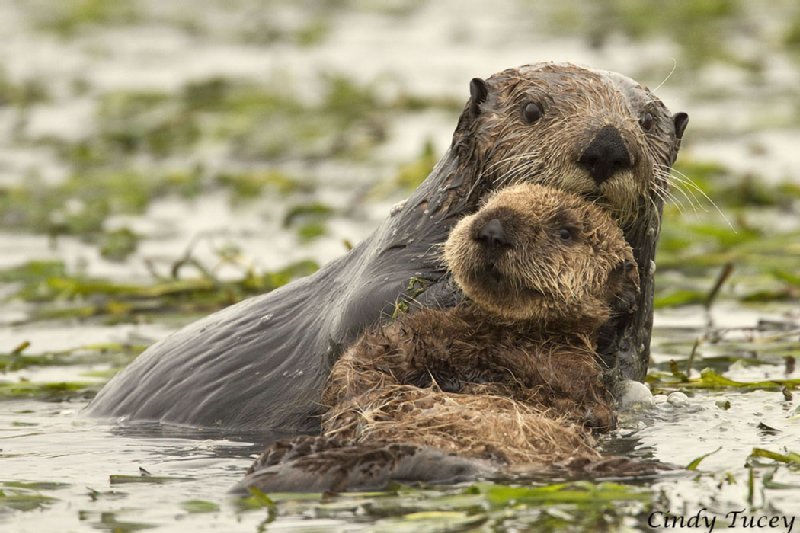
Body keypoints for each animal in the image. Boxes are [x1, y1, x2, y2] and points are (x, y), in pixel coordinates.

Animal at [233, 184, 643, 493]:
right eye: (486, 204)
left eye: (566, 232)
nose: (493, 228)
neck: (504, 336)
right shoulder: (415, 333)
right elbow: (363, 365)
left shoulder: (568, 373)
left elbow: (575, 401)